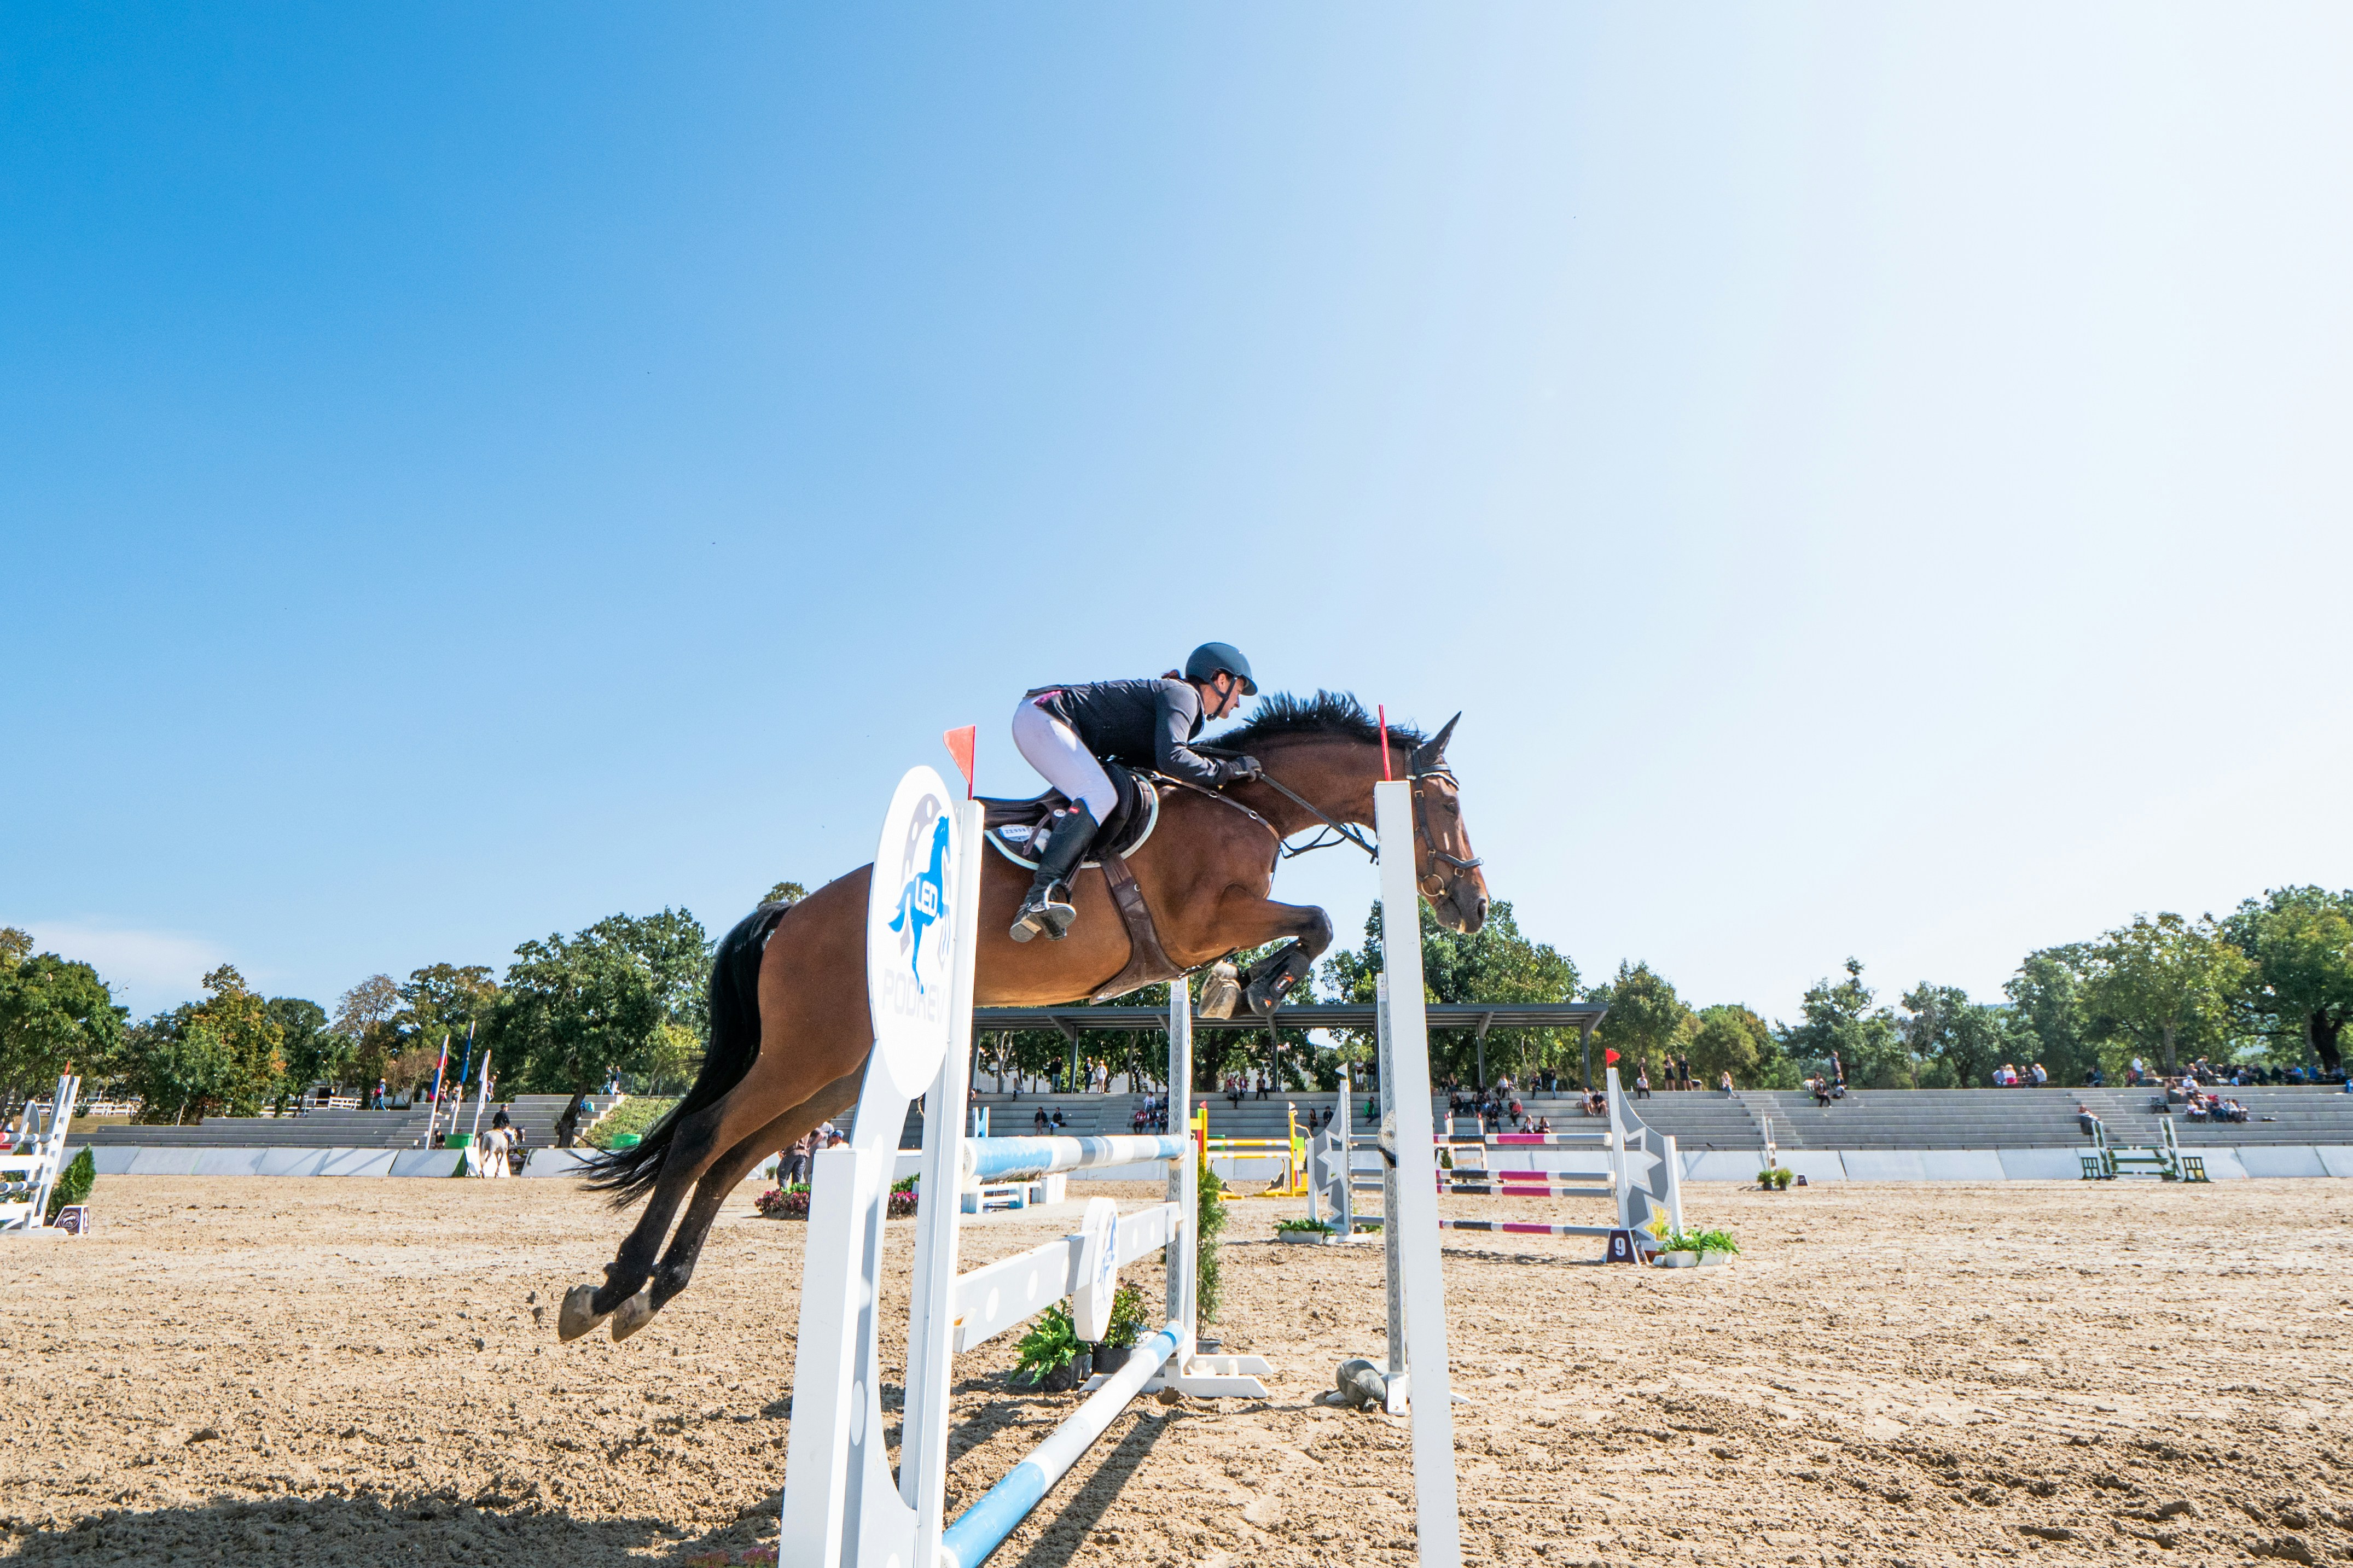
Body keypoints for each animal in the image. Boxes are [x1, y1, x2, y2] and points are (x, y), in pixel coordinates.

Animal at [559, 691, 1487, 1343]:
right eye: (1446, 803)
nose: (1473, 905)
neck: (1249, 801)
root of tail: (790, 913)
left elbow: (1303, 928)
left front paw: (1240, 986)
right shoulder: (1204, 917)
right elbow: (1319, 919)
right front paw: (1259, 986)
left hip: (834, 1068)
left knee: (733, 1156)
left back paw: (654, 1290)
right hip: (804, 1050)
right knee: (699, 1135)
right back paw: (611, 1287)